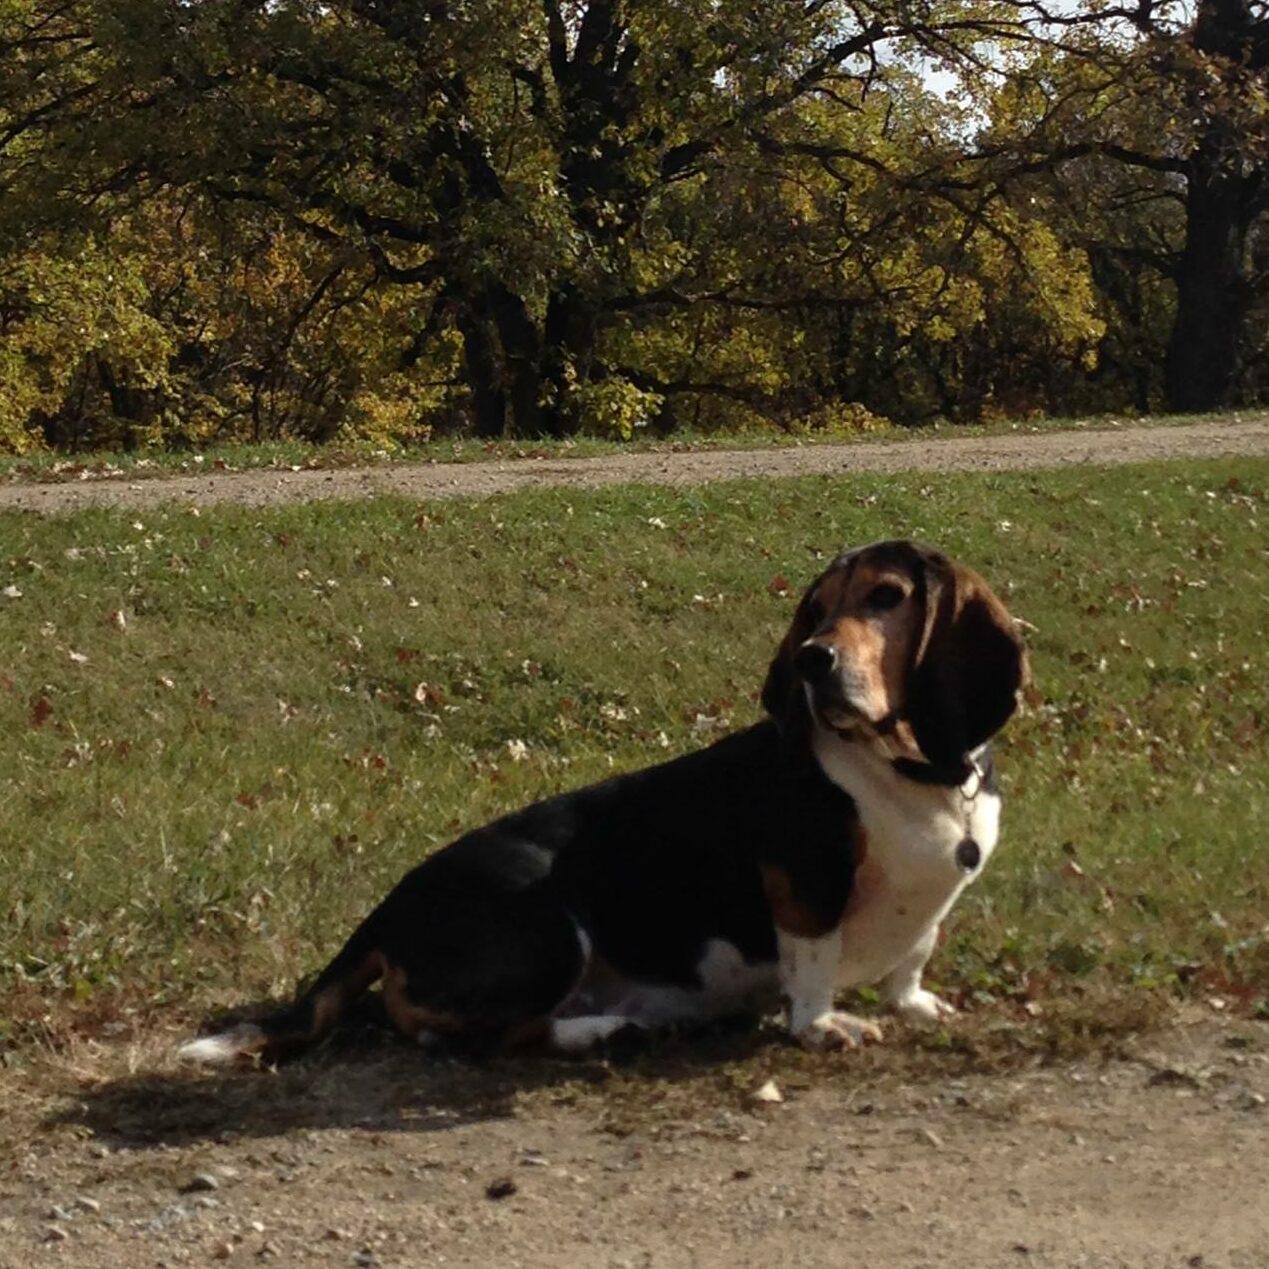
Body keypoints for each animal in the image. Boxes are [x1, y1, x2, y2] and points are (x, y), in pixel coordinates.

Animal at [178, 540, 1025, 1065]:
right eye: (814, 610)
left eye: (886, 598)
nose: (815, 660)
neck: (912, 772)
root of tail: (385, 912)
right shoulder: (803, 881)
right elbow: (811, 963)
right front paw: (820, 1026)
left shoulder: (926, 907)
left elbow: (912, 953)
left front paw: (913, 1003)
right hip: (551, 927)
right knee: (488, 1038)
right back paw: (603, 1030)